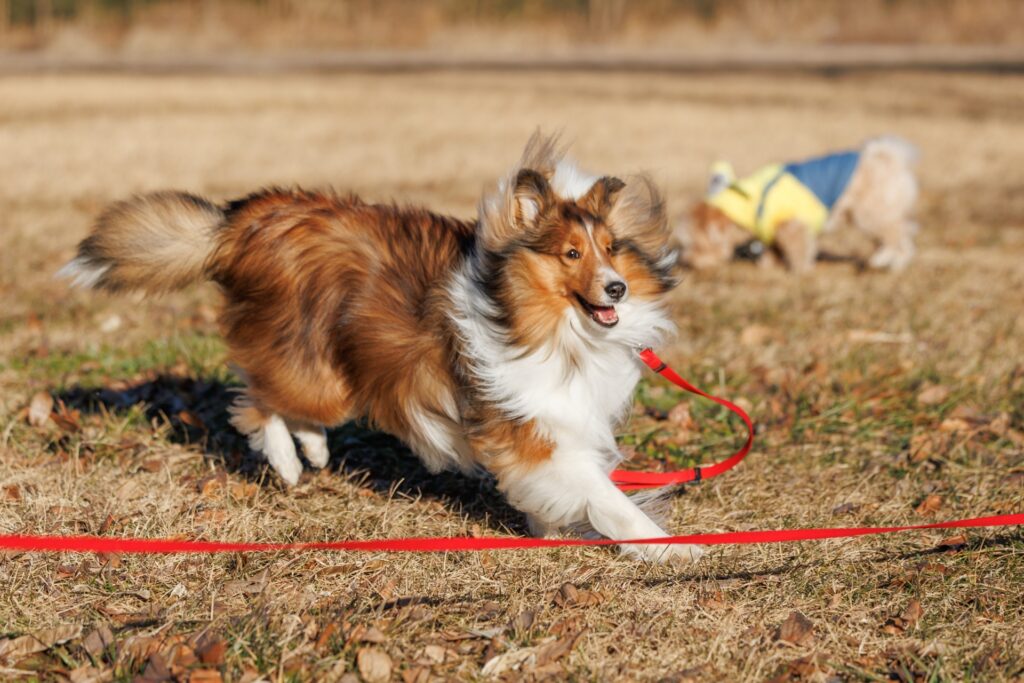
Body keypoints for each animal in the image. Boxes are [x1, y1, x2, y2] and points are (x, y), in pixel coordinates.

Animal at [59, 136, 700, 565]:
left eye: (611, 248)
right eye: (571, 253)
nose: (616, 289)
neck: (540, 321)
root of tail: (242, 220)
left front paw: (548, 528)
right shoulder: (536, 430)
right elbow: (606, 496)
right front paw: (670, 547)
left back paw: (315, 450)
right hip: (315, 368)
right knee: (254, 400)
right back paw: (288, 462)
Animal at [679, 136, 921, 272]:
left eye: (695, 244)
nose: (689, 262)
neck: (749, 201)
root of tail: (888, 158)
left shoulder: (793, 226)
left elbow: (798, 249)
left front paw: (799, 269)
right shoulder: (772, 229)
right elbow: (773, 249)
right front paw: (769, 264)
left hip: (871, 213)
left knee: (898, 236)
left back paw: (886, 260)